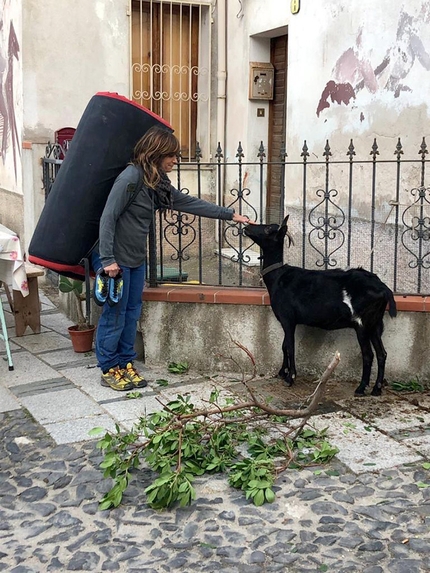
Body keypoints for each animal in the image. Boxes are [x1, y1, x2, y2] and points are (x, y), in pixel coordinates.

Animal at [245, 217, 396, 396]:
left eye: (269, 229)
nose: (246, 227)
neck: (278, 277)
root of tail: (384, 288)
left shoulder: (287, 318)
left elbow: (289, 346)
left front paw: (290, 377)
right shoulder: (287, 320)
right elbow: (283, 346)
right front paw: (282, 372)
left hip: (362, 324)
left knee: (368, 355)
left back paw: (361, 388)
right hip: (376, 323)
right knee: (382, 354)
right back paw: (376, 389)